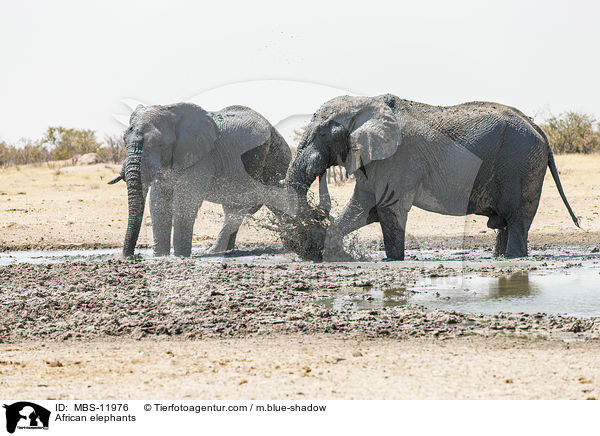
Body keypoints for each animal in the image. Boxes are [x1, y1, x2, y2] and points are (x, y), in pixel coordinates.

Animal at [110, 102, 298, 258]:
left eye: (160, 144)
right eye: (124, 140)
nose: (133, 256)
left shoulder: (203, 157)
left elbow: (185, 199)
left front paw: (180, 256)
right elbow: (159, 201)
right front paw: (160, 257)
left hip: (276, 157)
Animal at [288, 94, 580, 260]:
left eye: (321, 133)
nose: (317, 212)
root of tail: (539, 129)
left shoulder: (397, 160)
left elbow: (388, 210)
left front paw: (393, 261)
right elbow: (362, 208)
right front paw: (336, 255)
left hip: (522, 164)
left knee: (518, 220)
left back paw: (514, 258)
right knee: (506, 224)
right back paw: (500, 258)